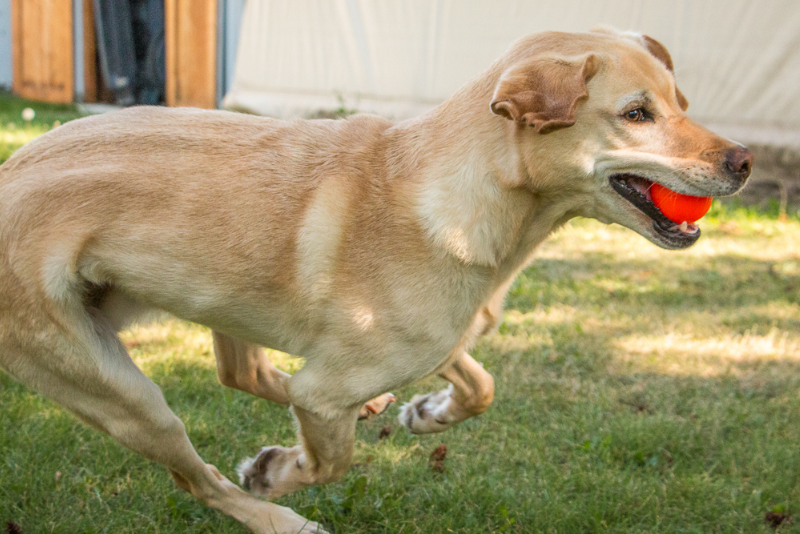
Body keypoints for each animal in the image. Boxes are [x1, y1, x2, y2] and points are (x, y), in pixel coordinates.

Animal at [0, 29, 752, 534]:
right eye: (636, 114)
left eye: (680, 101)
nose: (743, 161)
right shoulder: (329, 387)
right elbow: (328, 460)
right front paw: (277, 471)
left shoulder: (440, 337)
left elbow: (480, 385)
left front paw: (428, 413)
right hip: (125, 396)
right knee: (196, 474)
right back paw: (278, 516)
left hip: (209, 300)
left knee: (242, 372)